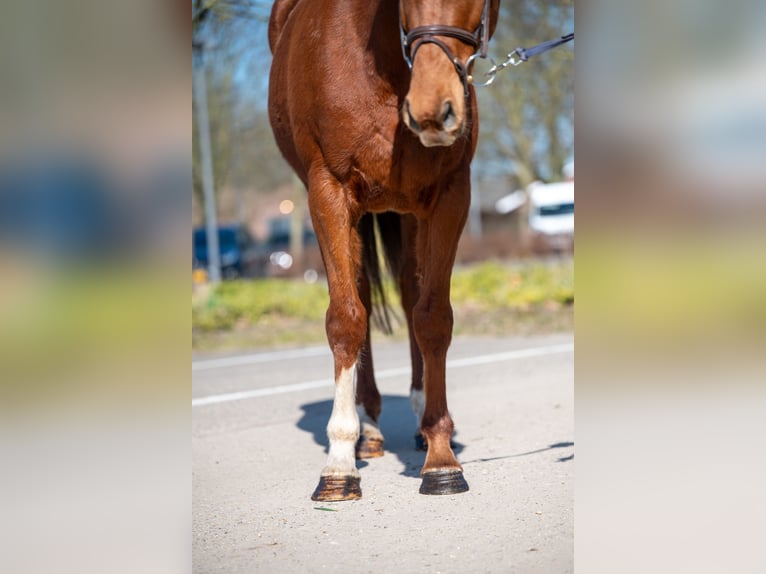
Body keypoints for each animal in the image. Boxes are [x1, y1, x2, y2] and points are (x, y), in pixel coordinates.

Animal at [268, 0, 498, 500]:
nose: (432, 109)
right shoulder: (328, 194)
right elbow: (345, 319)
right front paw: (338, 464)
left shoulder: (450, 195)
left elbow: (433, 318)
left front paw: (441, 458)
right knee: (362, 298)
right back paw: (368, 430)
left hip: (408, 214)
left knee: (411, 294)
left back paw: (418, 419)